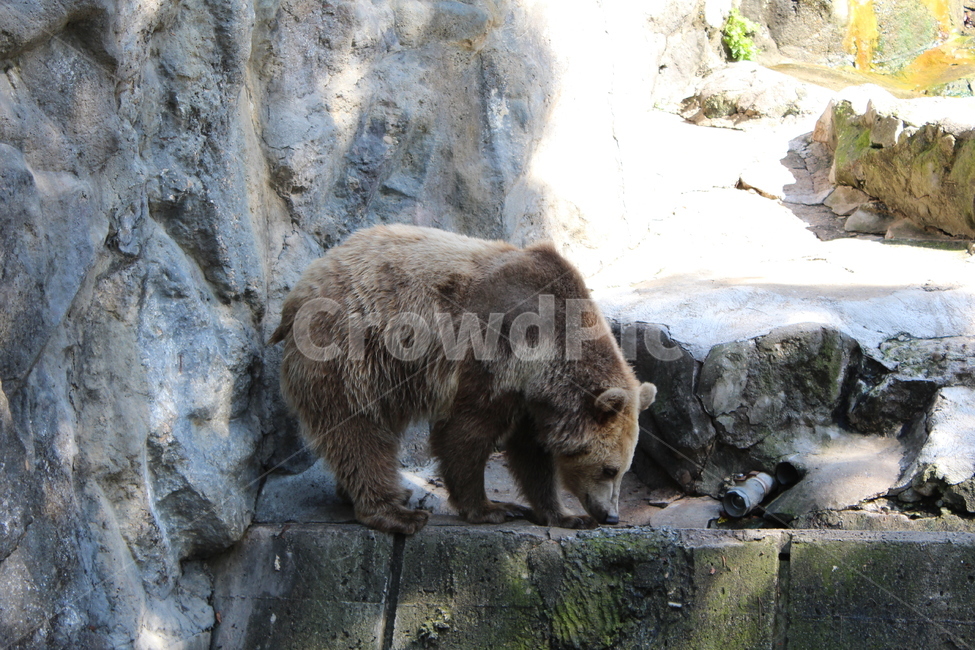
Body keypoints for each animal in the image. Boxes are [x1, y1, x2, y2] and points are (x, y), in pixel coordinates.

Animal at [270, 224, 656, 535]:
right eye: (609, 469)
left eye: (624, 470)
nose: (610, 516)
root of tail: (299, 291)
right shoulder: (493, 355)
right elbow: (465, 433)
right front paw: (492, 508)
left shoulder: (530, 397)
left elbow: (531, 454)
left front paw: (564, 515)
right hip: (349, 351)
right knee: (359, 431)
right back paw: (395, 512)